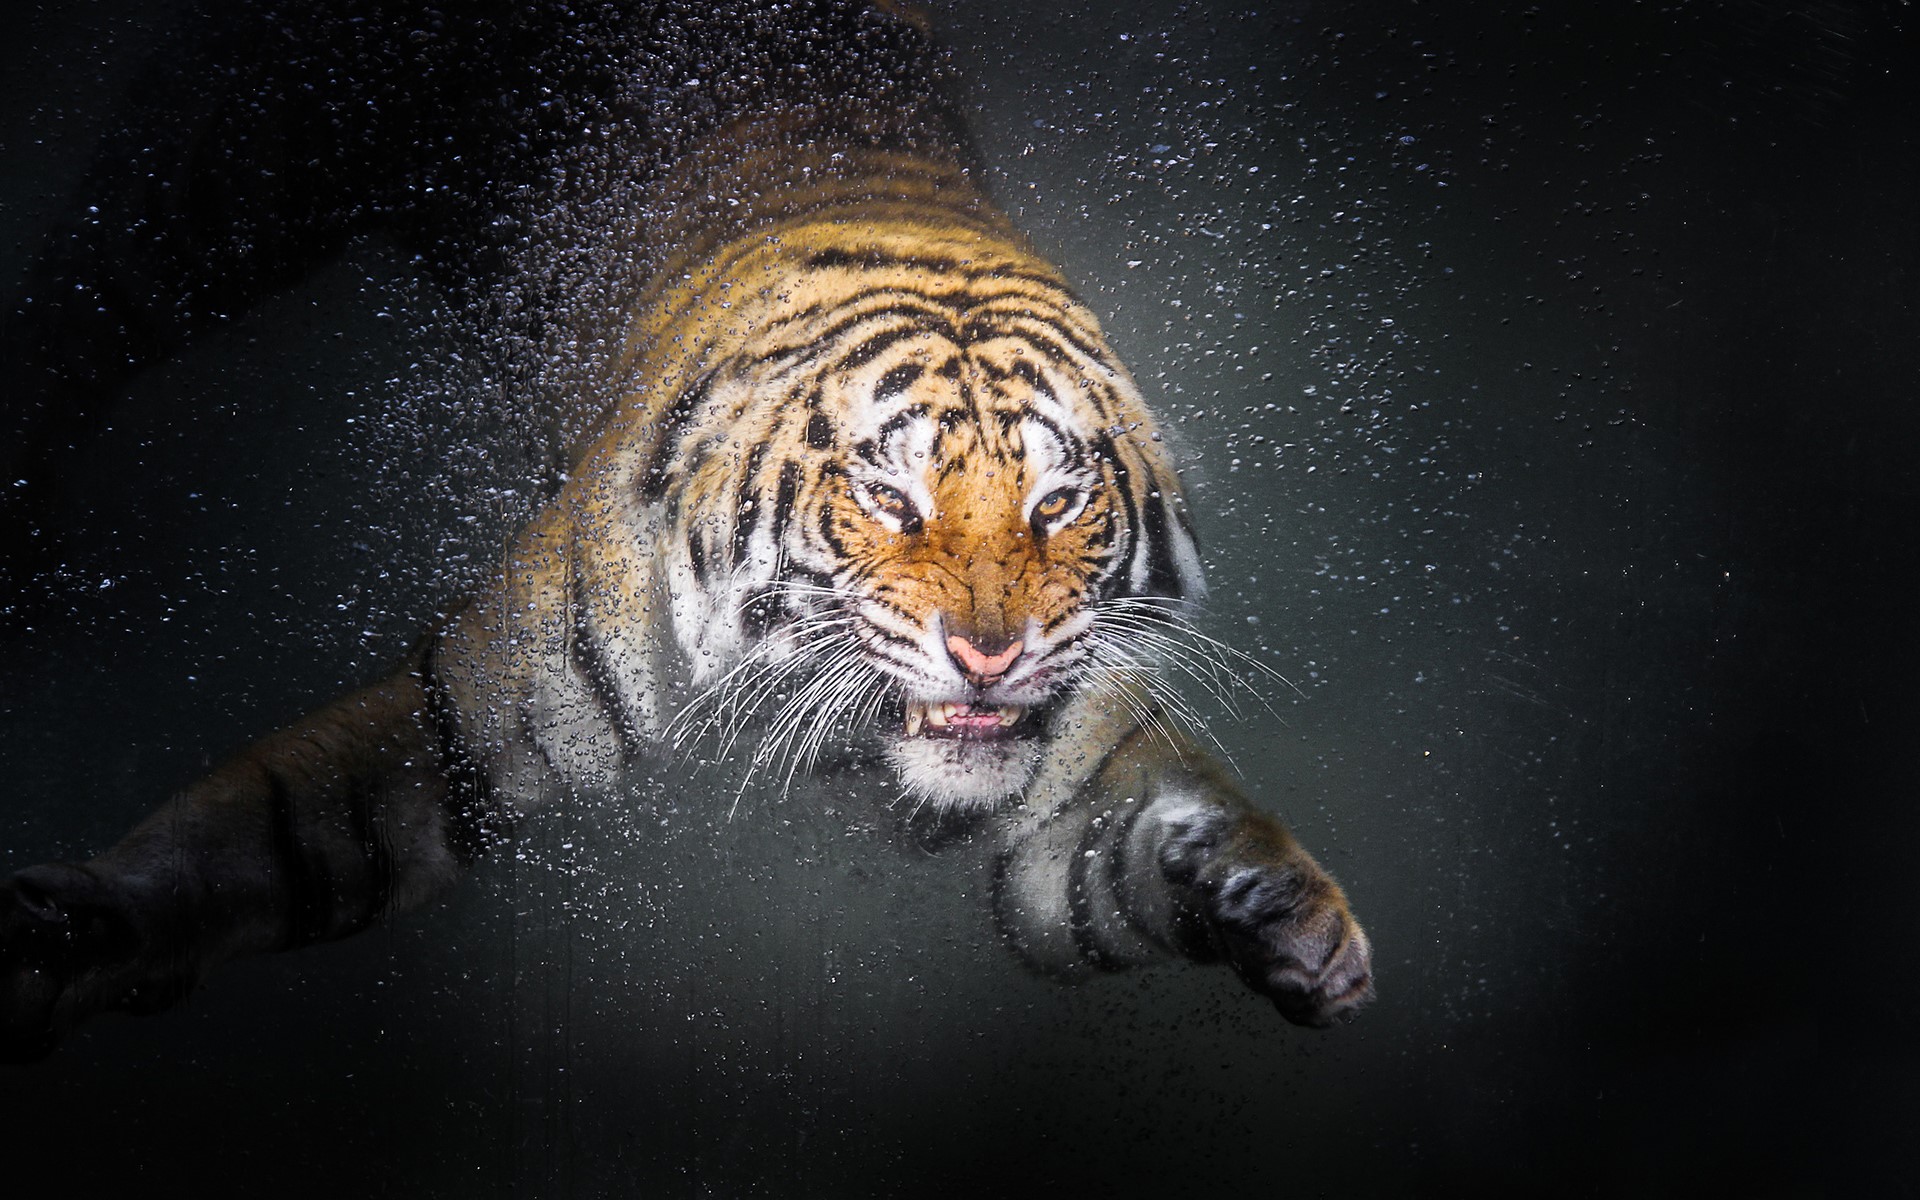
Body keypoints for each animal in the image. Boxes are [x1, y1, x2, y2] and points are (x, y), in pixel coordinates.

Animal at [0, 0, 1372, 1060]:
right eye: (891, 498)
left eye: (1057, 503)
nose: (990, 655)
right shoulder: (472, 711)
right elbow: (272, 824)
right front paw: (82, 927)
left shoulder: (1071, 785)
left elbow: (1139, 839)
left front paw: (1289, 917)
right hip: (219, 172)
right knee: (76, 312)